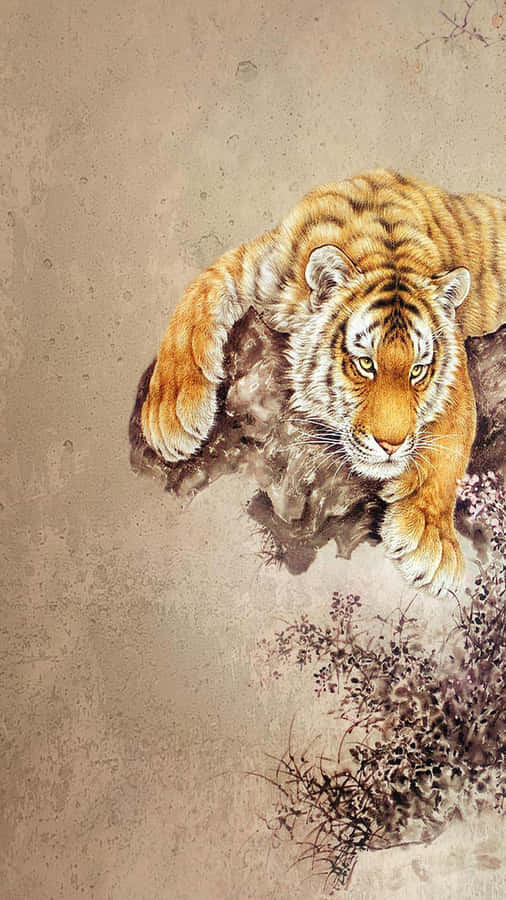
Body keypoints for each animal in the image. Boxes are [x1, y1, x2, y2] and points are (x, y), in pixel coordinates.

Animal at [141, 169, 506, 597]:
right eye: (365, 364)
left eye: (417, 371)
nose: (391, 445)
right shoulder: (254, 265)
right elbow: (193, 302)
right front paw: (168, 416)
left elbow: (451, 441)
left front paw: (431, 541)